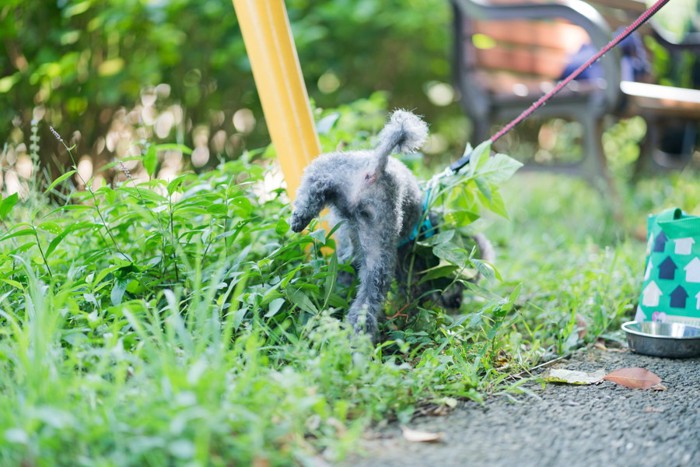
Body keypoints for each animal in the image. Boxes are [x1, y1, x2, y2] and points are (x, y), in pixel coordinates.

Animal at [290, 111, 486, 342]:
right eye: (457, 278)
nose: (457, 304)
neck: (427, 226)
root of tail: (376, 168)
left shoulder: (349, 253)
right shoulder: (409, 271)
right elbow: (413, 295)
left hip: (328, 170)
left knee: (313, 185)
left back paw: (299, 218)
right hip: (380, 251)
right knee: (367, 303)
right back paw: (359, 336)